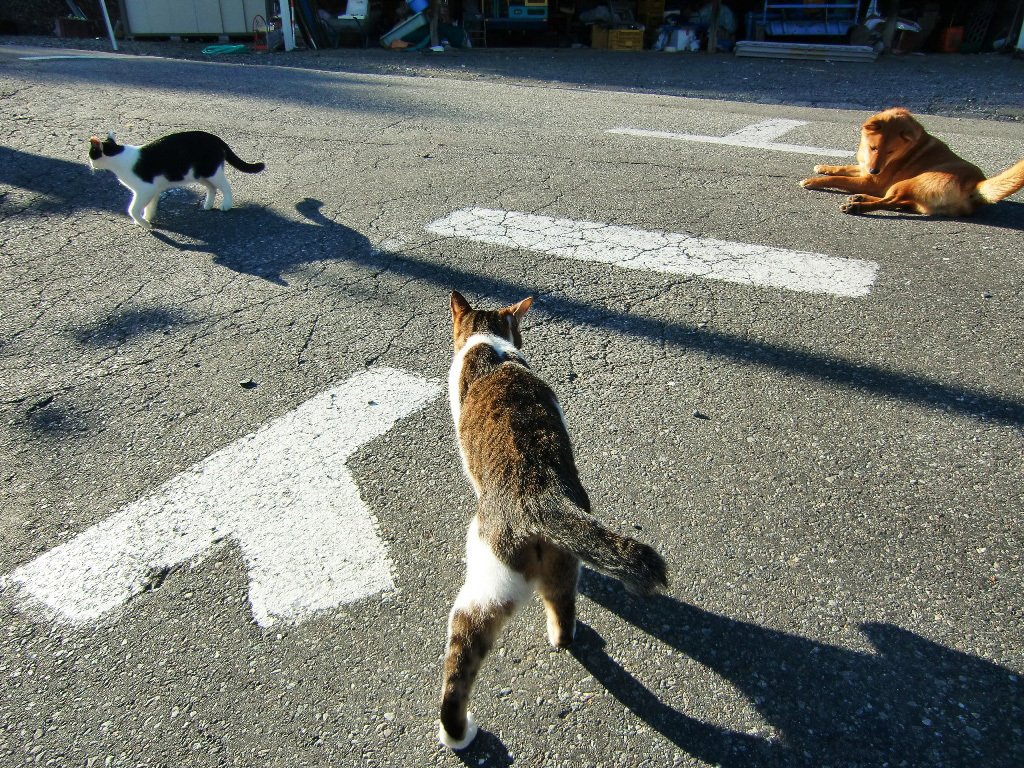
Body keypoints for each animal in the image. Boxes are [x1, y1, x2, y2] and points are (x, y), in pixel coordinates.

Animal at [88, 132, 264, 228]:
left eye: (91, 153)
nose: (90, 164)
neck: (118, 158)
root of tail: (215, 138)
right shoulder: (152, 190)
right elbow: (149, 206)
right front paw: (148, 218)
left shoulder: (145, 190)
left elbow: (132, 209)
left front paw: (144, 223)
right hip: (198, 174)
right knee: (212, 188)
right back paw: (207, 205)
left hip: (211, 171)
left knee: (226, 186)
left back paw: (226, 205)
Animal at [440, 290, 671, 749]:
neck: (488, 341)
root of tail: (538, 499)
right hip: (562, 563)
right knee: (562, 608)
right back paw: (563, 637)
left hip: (486, 579)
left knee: (462, 650)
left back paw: (456, 730)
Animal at [798, 108, 1024, 217]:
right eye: (874, 148)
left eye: (890, 151)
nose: (876, 170)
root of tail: (975, 184)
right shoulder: (864, 170)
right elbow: (841, 168)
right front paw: (822, 167)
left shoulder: (872, 181)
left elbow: (838, 178)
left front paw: (812, 181)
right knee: (897, 202)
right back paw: (859, 199)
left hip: (908, 182)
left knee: (890, 200)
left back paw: (857, 207)